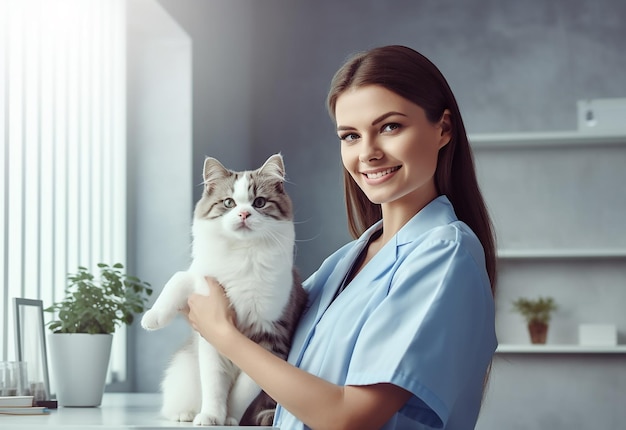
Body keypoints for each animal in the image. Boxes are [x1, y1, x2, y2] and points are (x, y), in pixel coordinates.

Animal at [141, 153, 308, 424]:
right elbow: (179, 278)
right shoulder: (206, 315)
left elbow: (241, 391)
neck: (242, 254)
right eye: (229, 203)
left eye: (259, 202)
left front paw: (229, 418)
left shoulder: (271, 338)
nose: (244, 214)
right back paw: (185, 414)